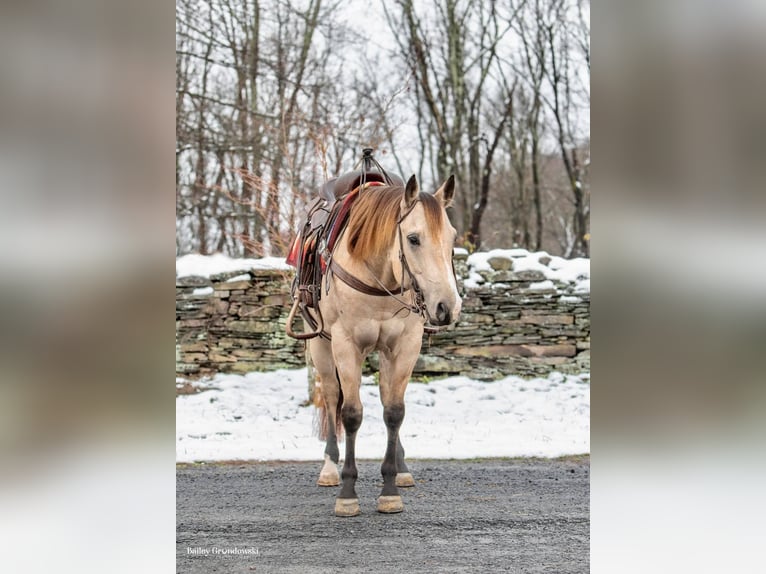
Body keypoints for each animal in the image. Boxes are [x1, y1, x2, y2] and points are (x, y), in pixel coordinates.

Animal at [284, 155, 460, 520]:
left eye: (452, 239)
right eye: (413, 238)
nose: (447, 307)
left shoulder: (406, 345)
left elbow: (394, 411)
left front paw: (390, 489)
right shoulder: (345, 344)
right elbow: (350, 413)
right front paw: (348, 494)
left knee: (384, 396)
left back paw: (402, 467)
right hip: (321, 344)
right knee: (332, 396)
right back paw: (329, 468)